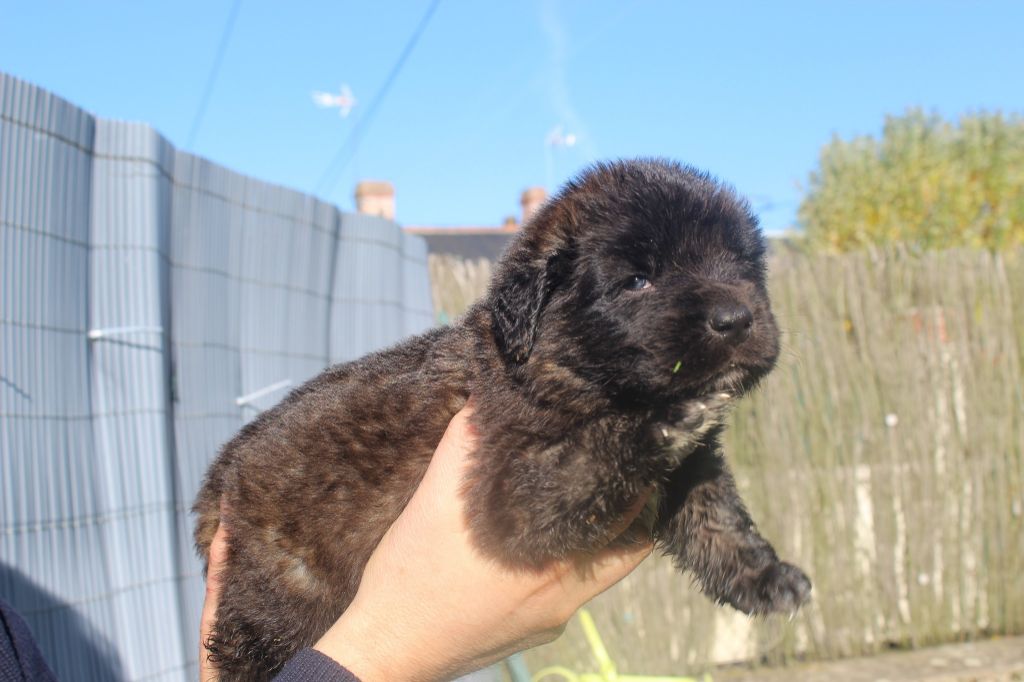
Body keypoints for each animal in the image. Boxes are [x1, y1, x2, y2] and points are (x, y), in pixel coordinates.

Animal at [195, 157, 811, 675]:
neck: (559, 361)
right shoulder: (512, 489)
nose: (736, 318)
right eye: (638, 279)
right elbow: (594, 455)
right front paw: (657, 422)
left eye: (742, 266)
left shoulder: (693, 472)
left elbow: (720, 519)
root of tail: (220, 477)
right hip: (284, 593)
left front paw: (764, 576)